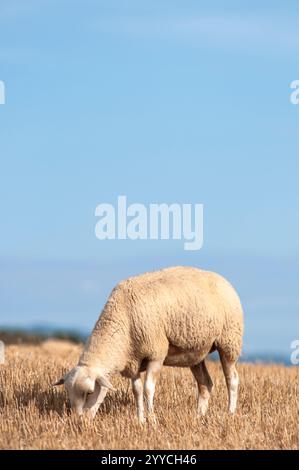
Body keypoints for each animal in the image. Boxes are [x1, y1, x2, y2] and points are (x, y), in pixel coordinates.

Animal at [54, 266, 244, 424]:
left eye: (90, 392)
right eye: (69, 394)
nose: (78, 421)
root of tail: (222, 279)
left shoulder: (156, 354)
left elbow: (148, 389)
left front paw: (152, 420)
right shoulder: (133, 361)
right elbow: (137, 391)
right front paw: (140, 420)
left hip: (229, 341)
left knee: (232, 379)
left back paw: (230, 413)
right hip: (196, 352)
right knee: (205, 384)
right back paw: (199, 416)